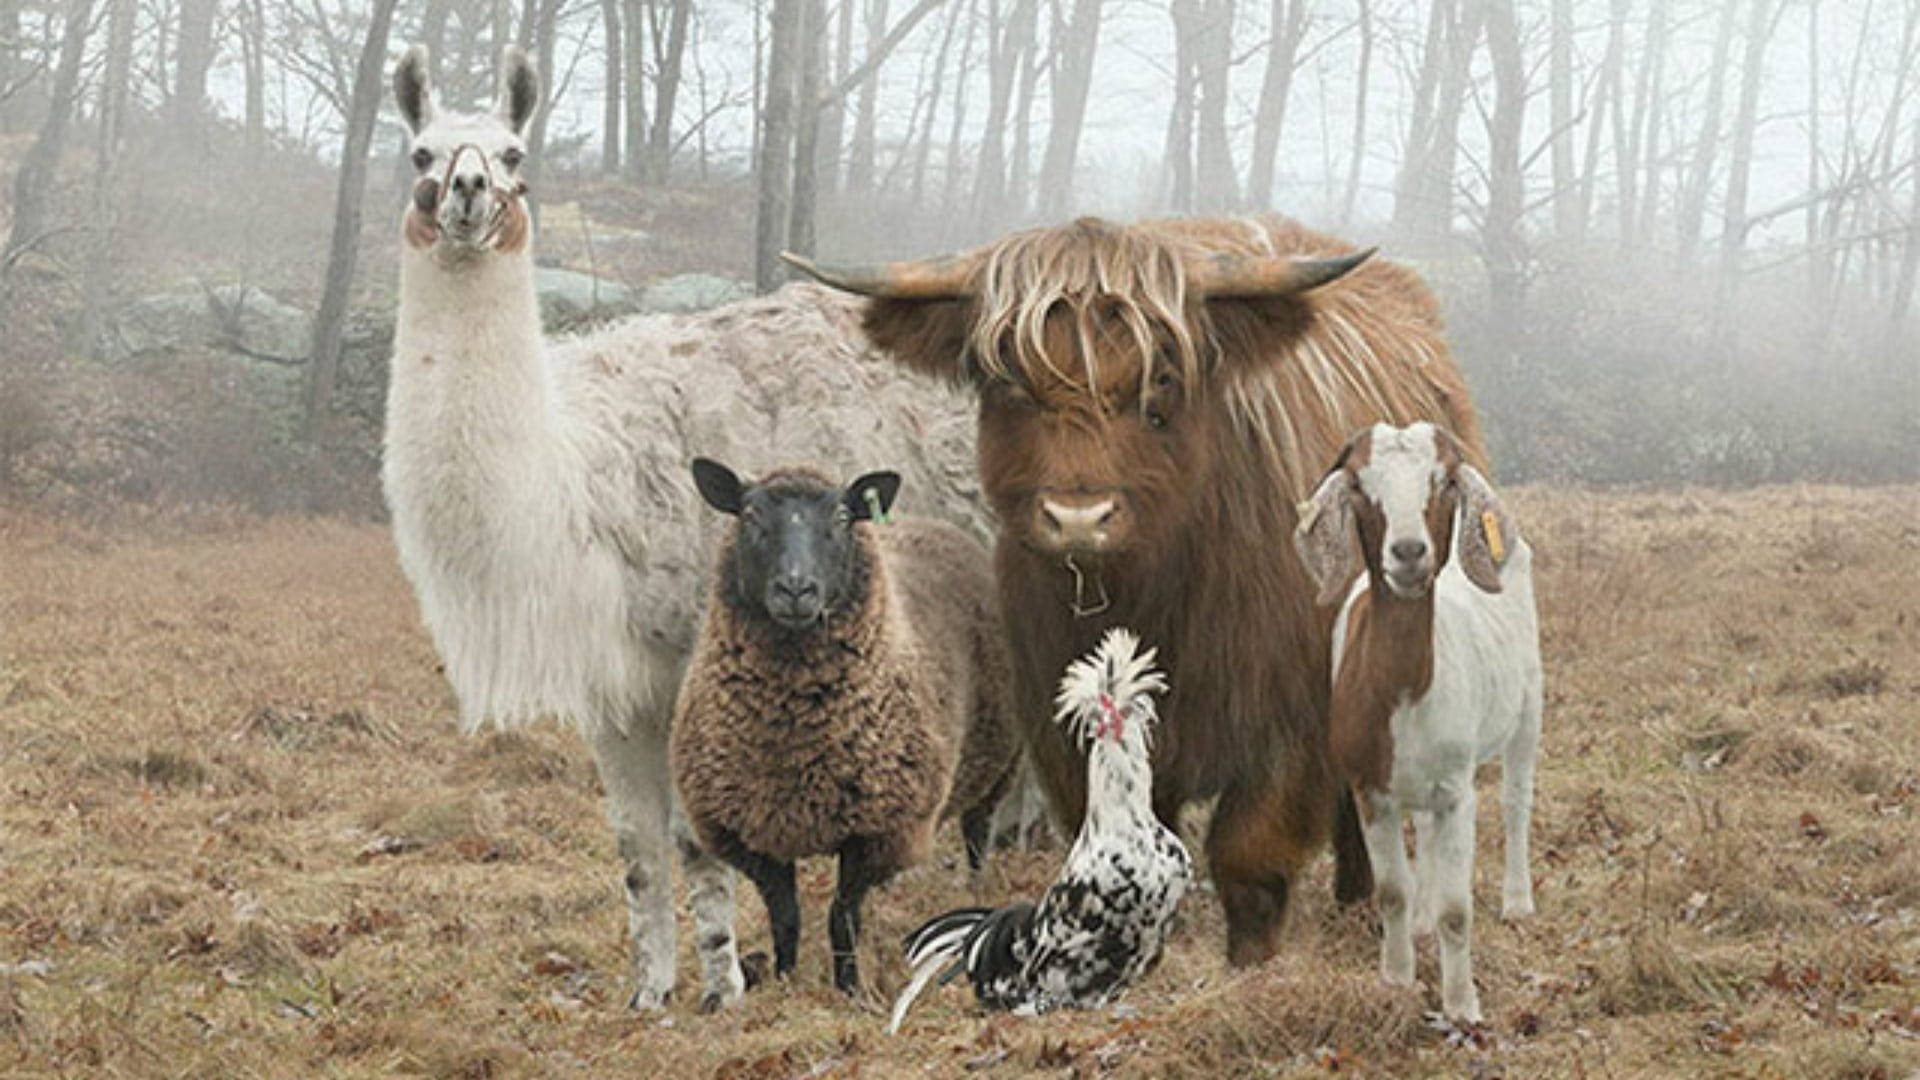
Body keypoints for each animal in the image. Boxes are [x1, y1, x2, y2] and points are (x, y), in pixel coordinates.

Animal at [670, 458, 1020, 995]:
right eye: (749, 514)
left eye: (840, 517)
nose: (796, 589)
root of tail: (935, 525)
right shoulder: (750, 832)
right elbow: (786, 916)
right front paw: (786, 979)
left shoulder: (878, 829)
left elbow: (842, 916)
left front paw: (850, 987)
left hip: (997, 758)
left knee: (977, 828)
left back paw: (974, 886)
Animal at [785, 215, 1487, 967]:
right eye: (1007, 383)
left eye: (1164, 381)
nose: (1078, 517)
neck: (1154, 598)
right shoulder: (1064, 724)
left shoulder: (1289, 722)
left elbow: (1250, 857)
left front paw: (1251, 965)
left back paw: (1361, 898)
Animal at [1292, 420, 1542, 1024]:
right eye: (1359, 484)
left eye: (1446, 480)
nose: (1409, 552)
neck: (1406, 688)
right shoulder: (1370, 788)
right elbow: (1392, 892)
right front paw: (1397, 980)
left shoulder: (1457, 791)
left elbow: (1457, 907)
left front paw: (1462, 1005)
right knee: (1425, 831)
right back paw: (1424, 924)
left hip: (1530, 701)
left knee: (1516, 802)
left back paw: (1518, 902)